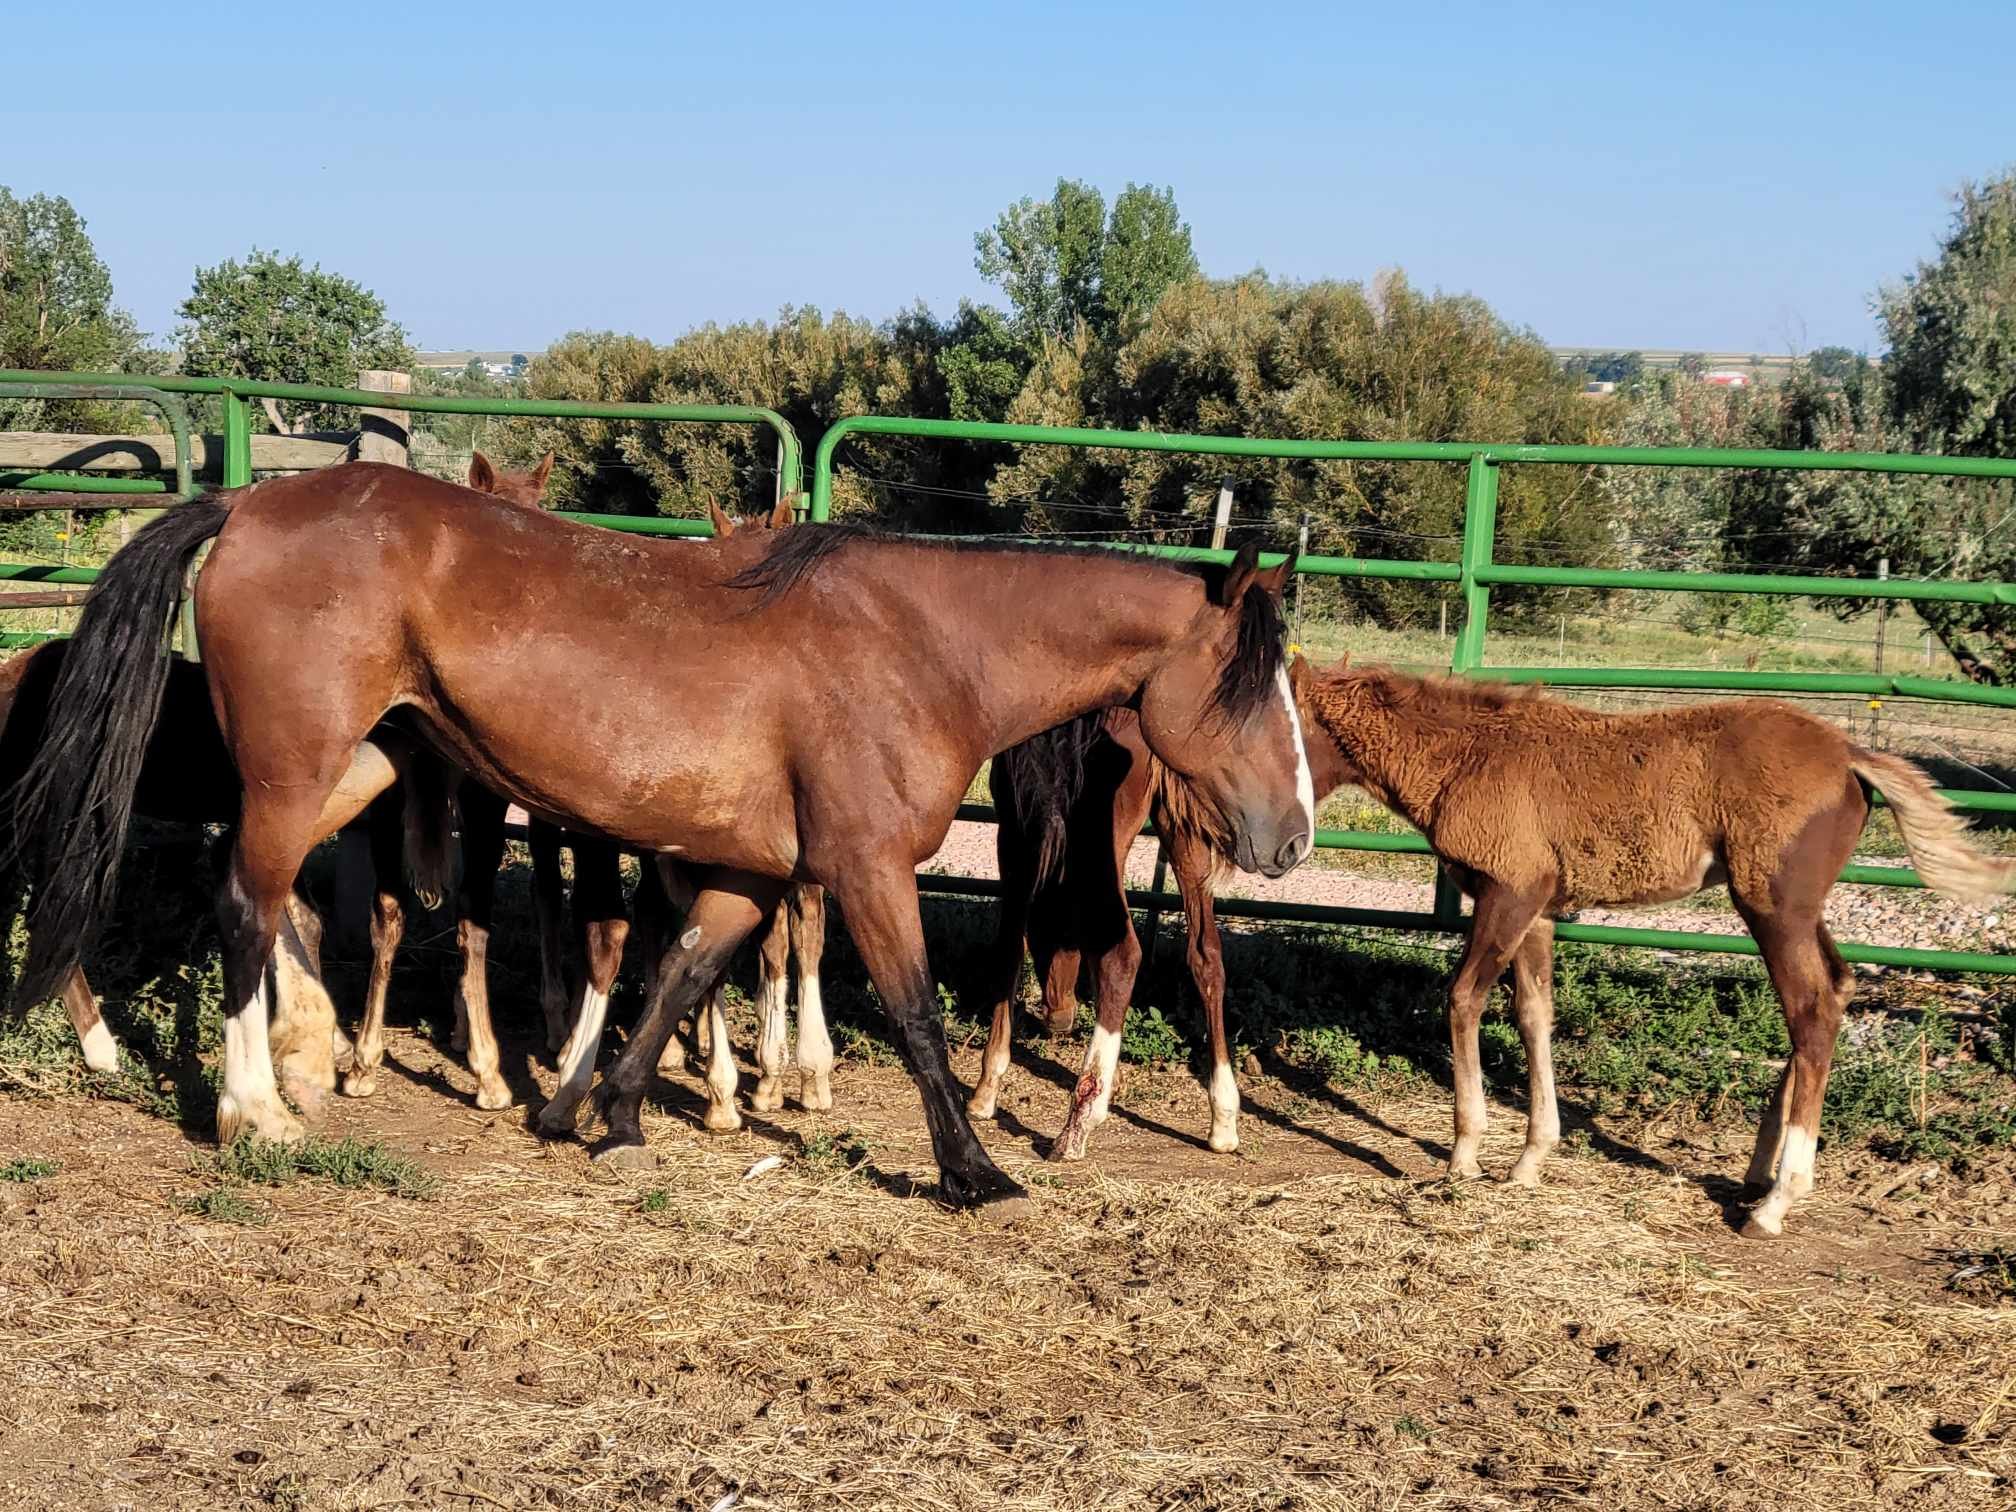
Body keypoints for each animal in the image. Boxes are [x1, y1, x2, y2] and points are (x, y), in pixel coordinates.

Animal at [967, 697, 1346, 1161]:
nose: (1059, 1019)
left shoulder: (1014, 835)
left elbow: (1009, 946)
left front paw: (986, 1089)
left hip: (1103, 835)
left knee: (1124, 953)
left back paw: (1077, 1125)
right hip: (1181, 832)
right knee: (1206, 956)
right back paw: (1223, 1120)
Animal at [1298, 661, 2007, 1241]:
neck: (1468, 756)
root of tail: (1849, 753)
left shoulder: (1509, 895)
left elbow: (1464, 999)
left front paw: (1464, 1155)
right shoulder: (1540, 913)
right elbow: (1534, 1015)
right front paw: (1530, 1159)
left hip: (1773, 908)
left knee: (1811, 1009)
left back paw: (1777, 1202)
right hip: (1800, 913)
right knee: (1836, 988)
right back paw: (1758, 1172)